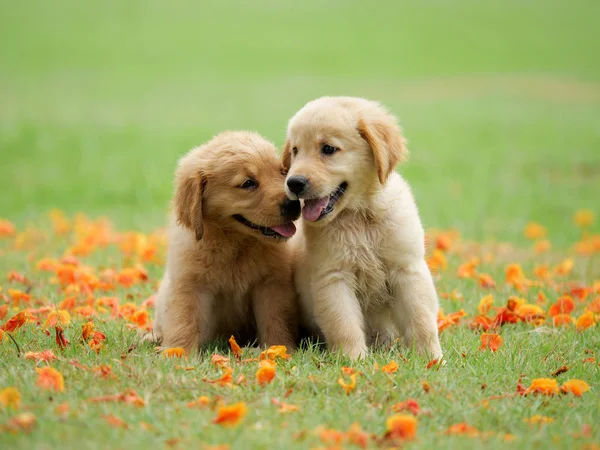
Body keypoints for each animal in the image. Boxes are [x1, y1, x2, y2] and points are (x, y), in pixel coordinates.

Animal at [150, 132, 300, 354]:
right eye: (248, 183)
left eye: (282, 172)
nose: (294, 204)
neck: (235, 242)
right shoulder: (188, 283)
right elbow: (183, 320)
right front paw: (180, 352)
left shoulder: (271, 284)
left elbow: (275, 319)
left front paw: (279, 348)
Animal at [284, 96, 442, 360]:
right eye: (295, 150)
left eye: (328, 149)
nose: (293, 183)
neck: (361, 216)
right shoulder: (333, 276)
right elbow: (344, 324)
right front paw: (353, 361)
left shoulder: (407, 270)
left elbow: (421, 318)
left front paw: (431, 359)